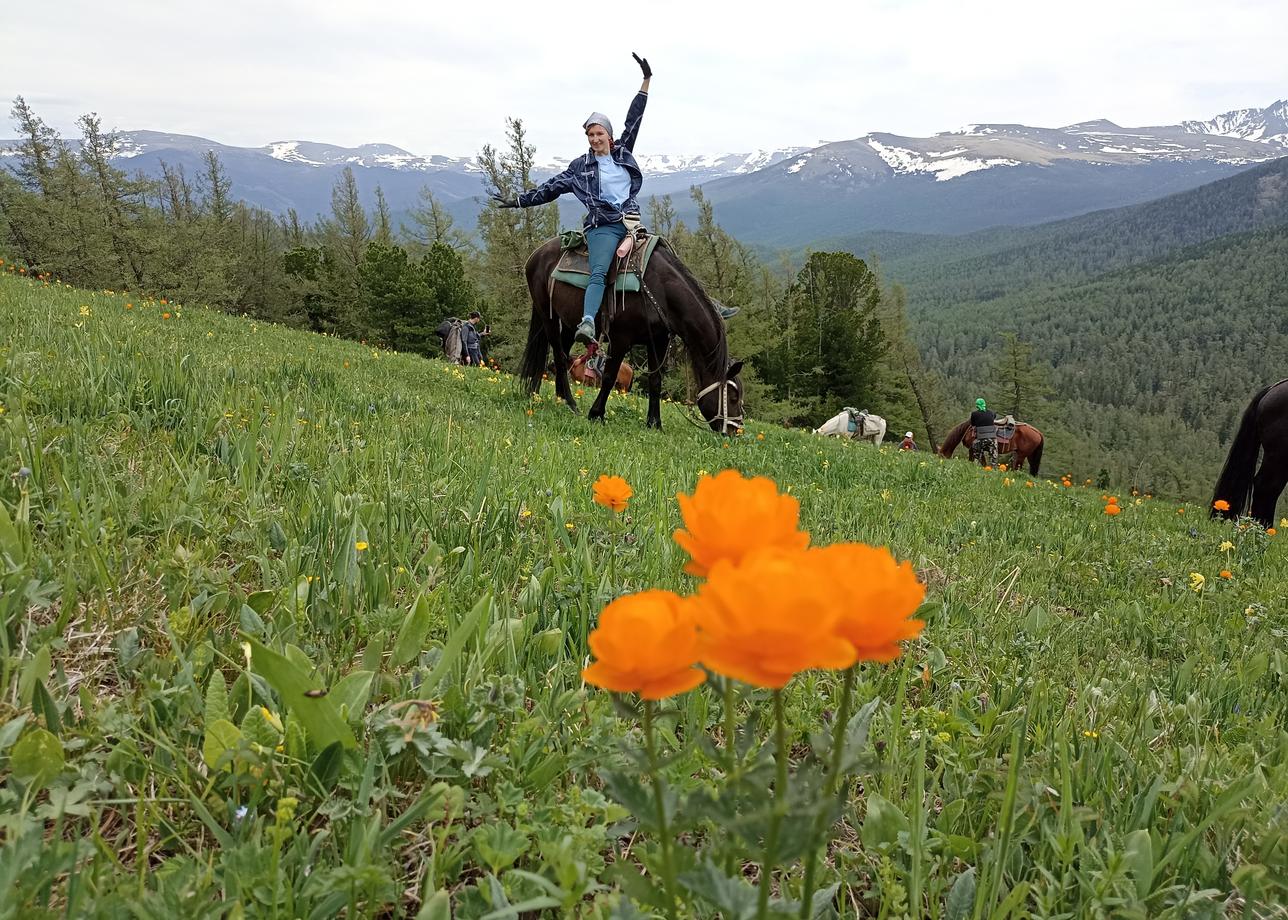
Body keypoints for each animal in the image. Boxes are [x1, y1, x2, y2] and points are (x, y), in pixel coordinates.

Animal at [520, 239, 747, 432]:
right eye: (733, 397)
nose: (735, 430)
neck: (661, 290)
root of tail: (536, 254)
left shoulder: (659, 341)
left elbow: (655, 380)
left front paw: (654, 423)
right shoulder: (620, 339)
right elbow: (609, 376)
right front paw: (596, 414)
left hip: (568, 322)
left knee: (564, 356)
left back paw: (561, 399)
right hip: (547, 315)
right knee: (559, 357)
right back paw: (570, 402)